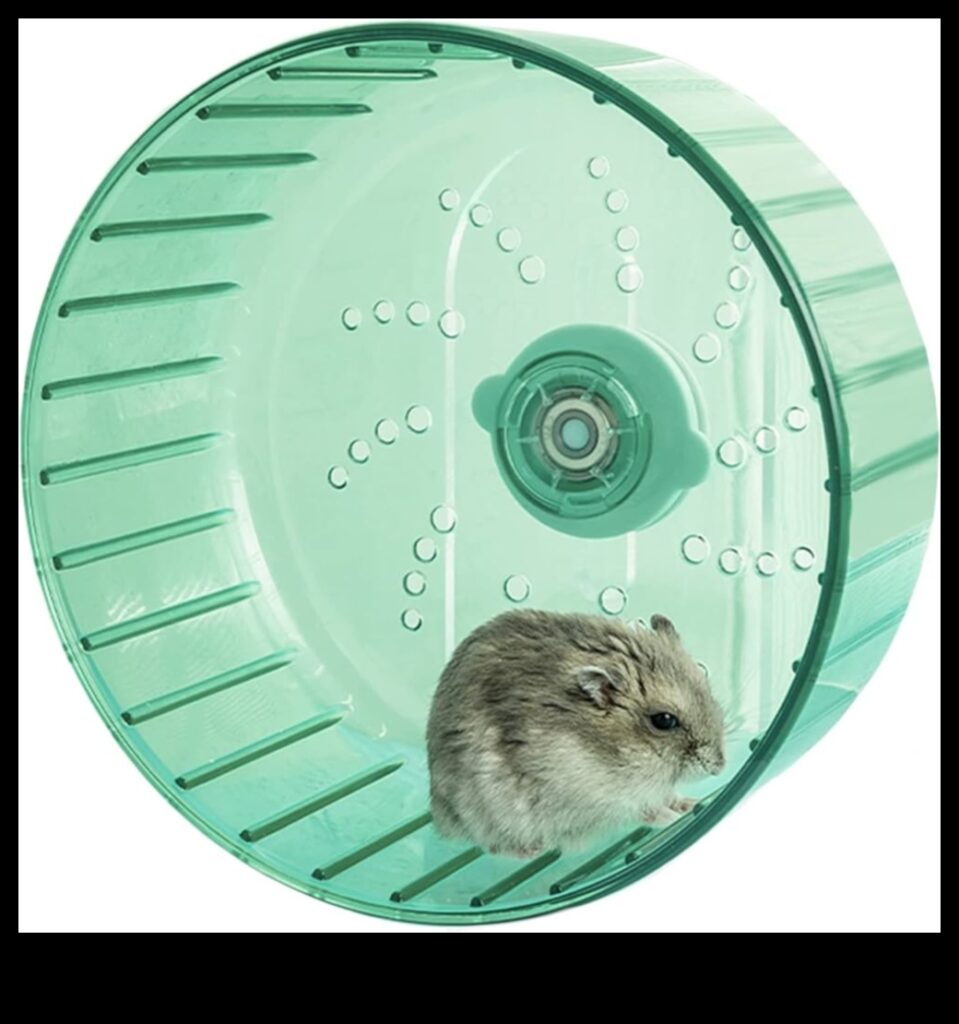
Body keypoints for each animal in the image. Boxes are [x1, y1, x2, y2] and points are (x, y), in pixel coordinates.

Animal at [427, 609, 726, 857]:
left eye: (706, 683)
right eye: (664, 720)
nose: (720, 767)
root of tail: (438, 814)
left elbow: (667, 796)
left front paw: (689, 804)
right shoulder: (602, 799)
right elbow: (645, 809)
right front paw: (672, 818)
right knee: (492, 845)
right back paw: (531, 852)